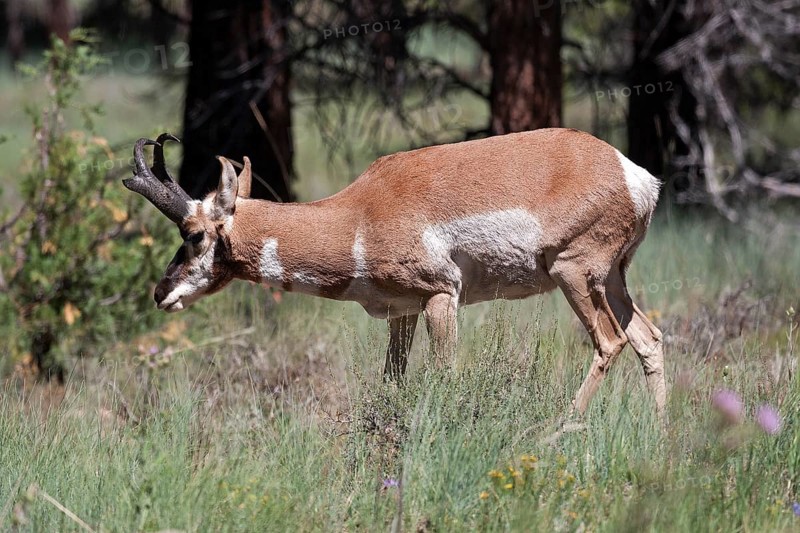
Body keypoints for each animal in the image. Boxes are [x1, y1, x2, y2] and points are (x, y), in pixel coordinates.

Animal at [124, 129, 666, 416]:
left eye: (193, 233)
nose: (159, 294)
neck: (358, 213)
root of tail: (633, 175)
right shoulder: (400, 313)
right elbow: (392, 381)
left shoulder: (441, 297)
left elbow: (444, 375)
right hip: (612, 280)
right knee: (649, 339)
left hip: (573, 273)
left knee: (611, 341)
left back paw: (557, 431)